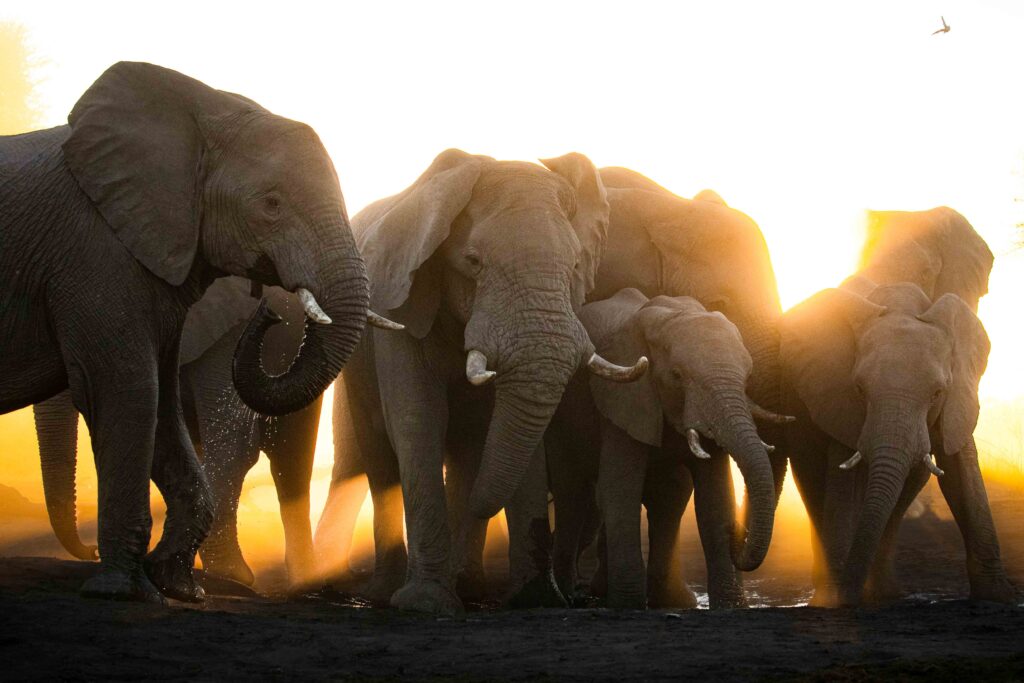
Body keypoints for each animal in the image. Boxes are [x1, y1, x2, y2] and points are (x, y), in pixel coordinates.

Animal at [0, 62, 373, 603]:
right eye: (272, 203)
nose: (270, 312)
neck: (204, 108)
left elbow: (153, 399)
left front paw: (178, 587)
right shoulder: (97, 253)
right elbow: (131, 391)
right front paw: (127, 590)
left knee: (290, 461)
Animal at [319, 148, 648, 616]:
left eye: (575, 266)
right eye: (473, 262)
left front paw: (537, 600)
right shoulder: (402, 305)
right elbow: (417, 419)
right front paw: (425, 604)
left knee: (468, 451)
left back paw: (469, 586)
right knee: (376, 458)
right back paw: (384, 593)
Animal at [546, 289, 791, 609]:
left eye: (747, 377)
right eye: (677, 375)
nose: (737, 536)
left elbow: (716, 498)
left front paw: (731, 606)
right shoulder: (626, 397)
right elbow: (620, 490)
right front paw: (628, 604)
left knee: (668, 496)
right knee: (572, 492)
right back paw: (567, 596)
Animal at [781, 280, 1014, 606]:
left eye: (937, 393)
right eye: (860, 389)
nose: (848, 599)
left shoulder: (959, 398)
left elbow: (961, 474)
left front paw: (998, 596)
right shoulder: (840, 399)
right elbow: (844, 482)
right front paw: (837, 599)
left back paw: (883, 594)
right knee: (813, 479)